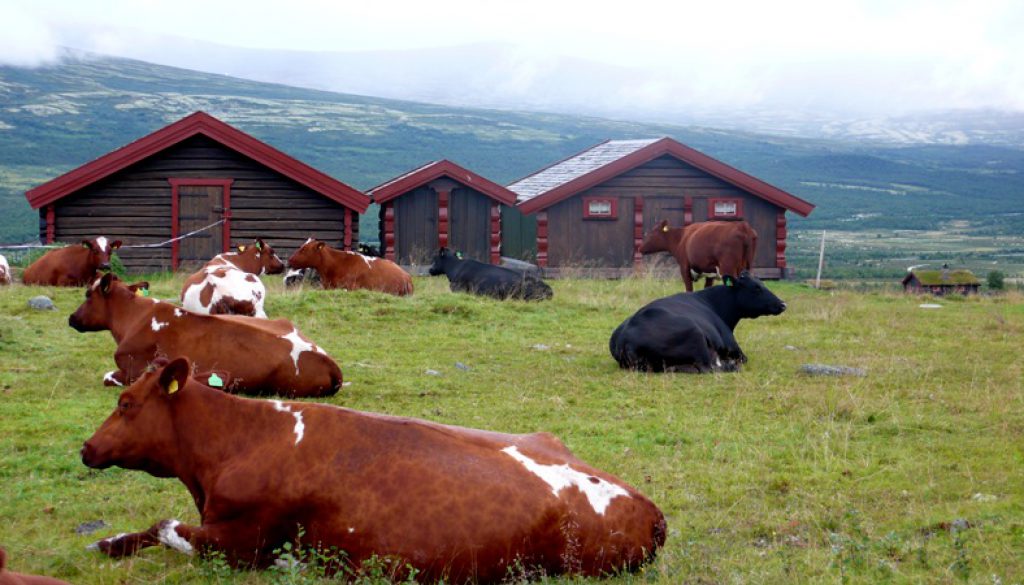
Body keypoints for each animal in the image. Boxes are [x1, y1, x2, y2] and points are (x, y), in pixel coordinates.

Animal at [73, 274, 344, 397]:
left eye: (88, 294)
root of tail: (330, 362)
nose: (72, 318)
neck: (134, 317)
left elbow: (108, 377)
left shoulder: (132, 369)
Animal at [83, 358, 667, 581]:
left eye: (127, 404)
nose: (87, 447)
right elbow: (146, 529)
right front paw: (107, 542)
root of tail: (651, 509)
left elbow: (166, 526)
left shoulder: (245, 540)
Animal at [606, 272, 782, 372]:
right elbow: (743, 358)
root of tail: (625, 338)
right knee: (708, 368)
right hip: (695, 335)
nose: (783, 304)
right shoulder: (732, 345)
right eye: (756, 288)